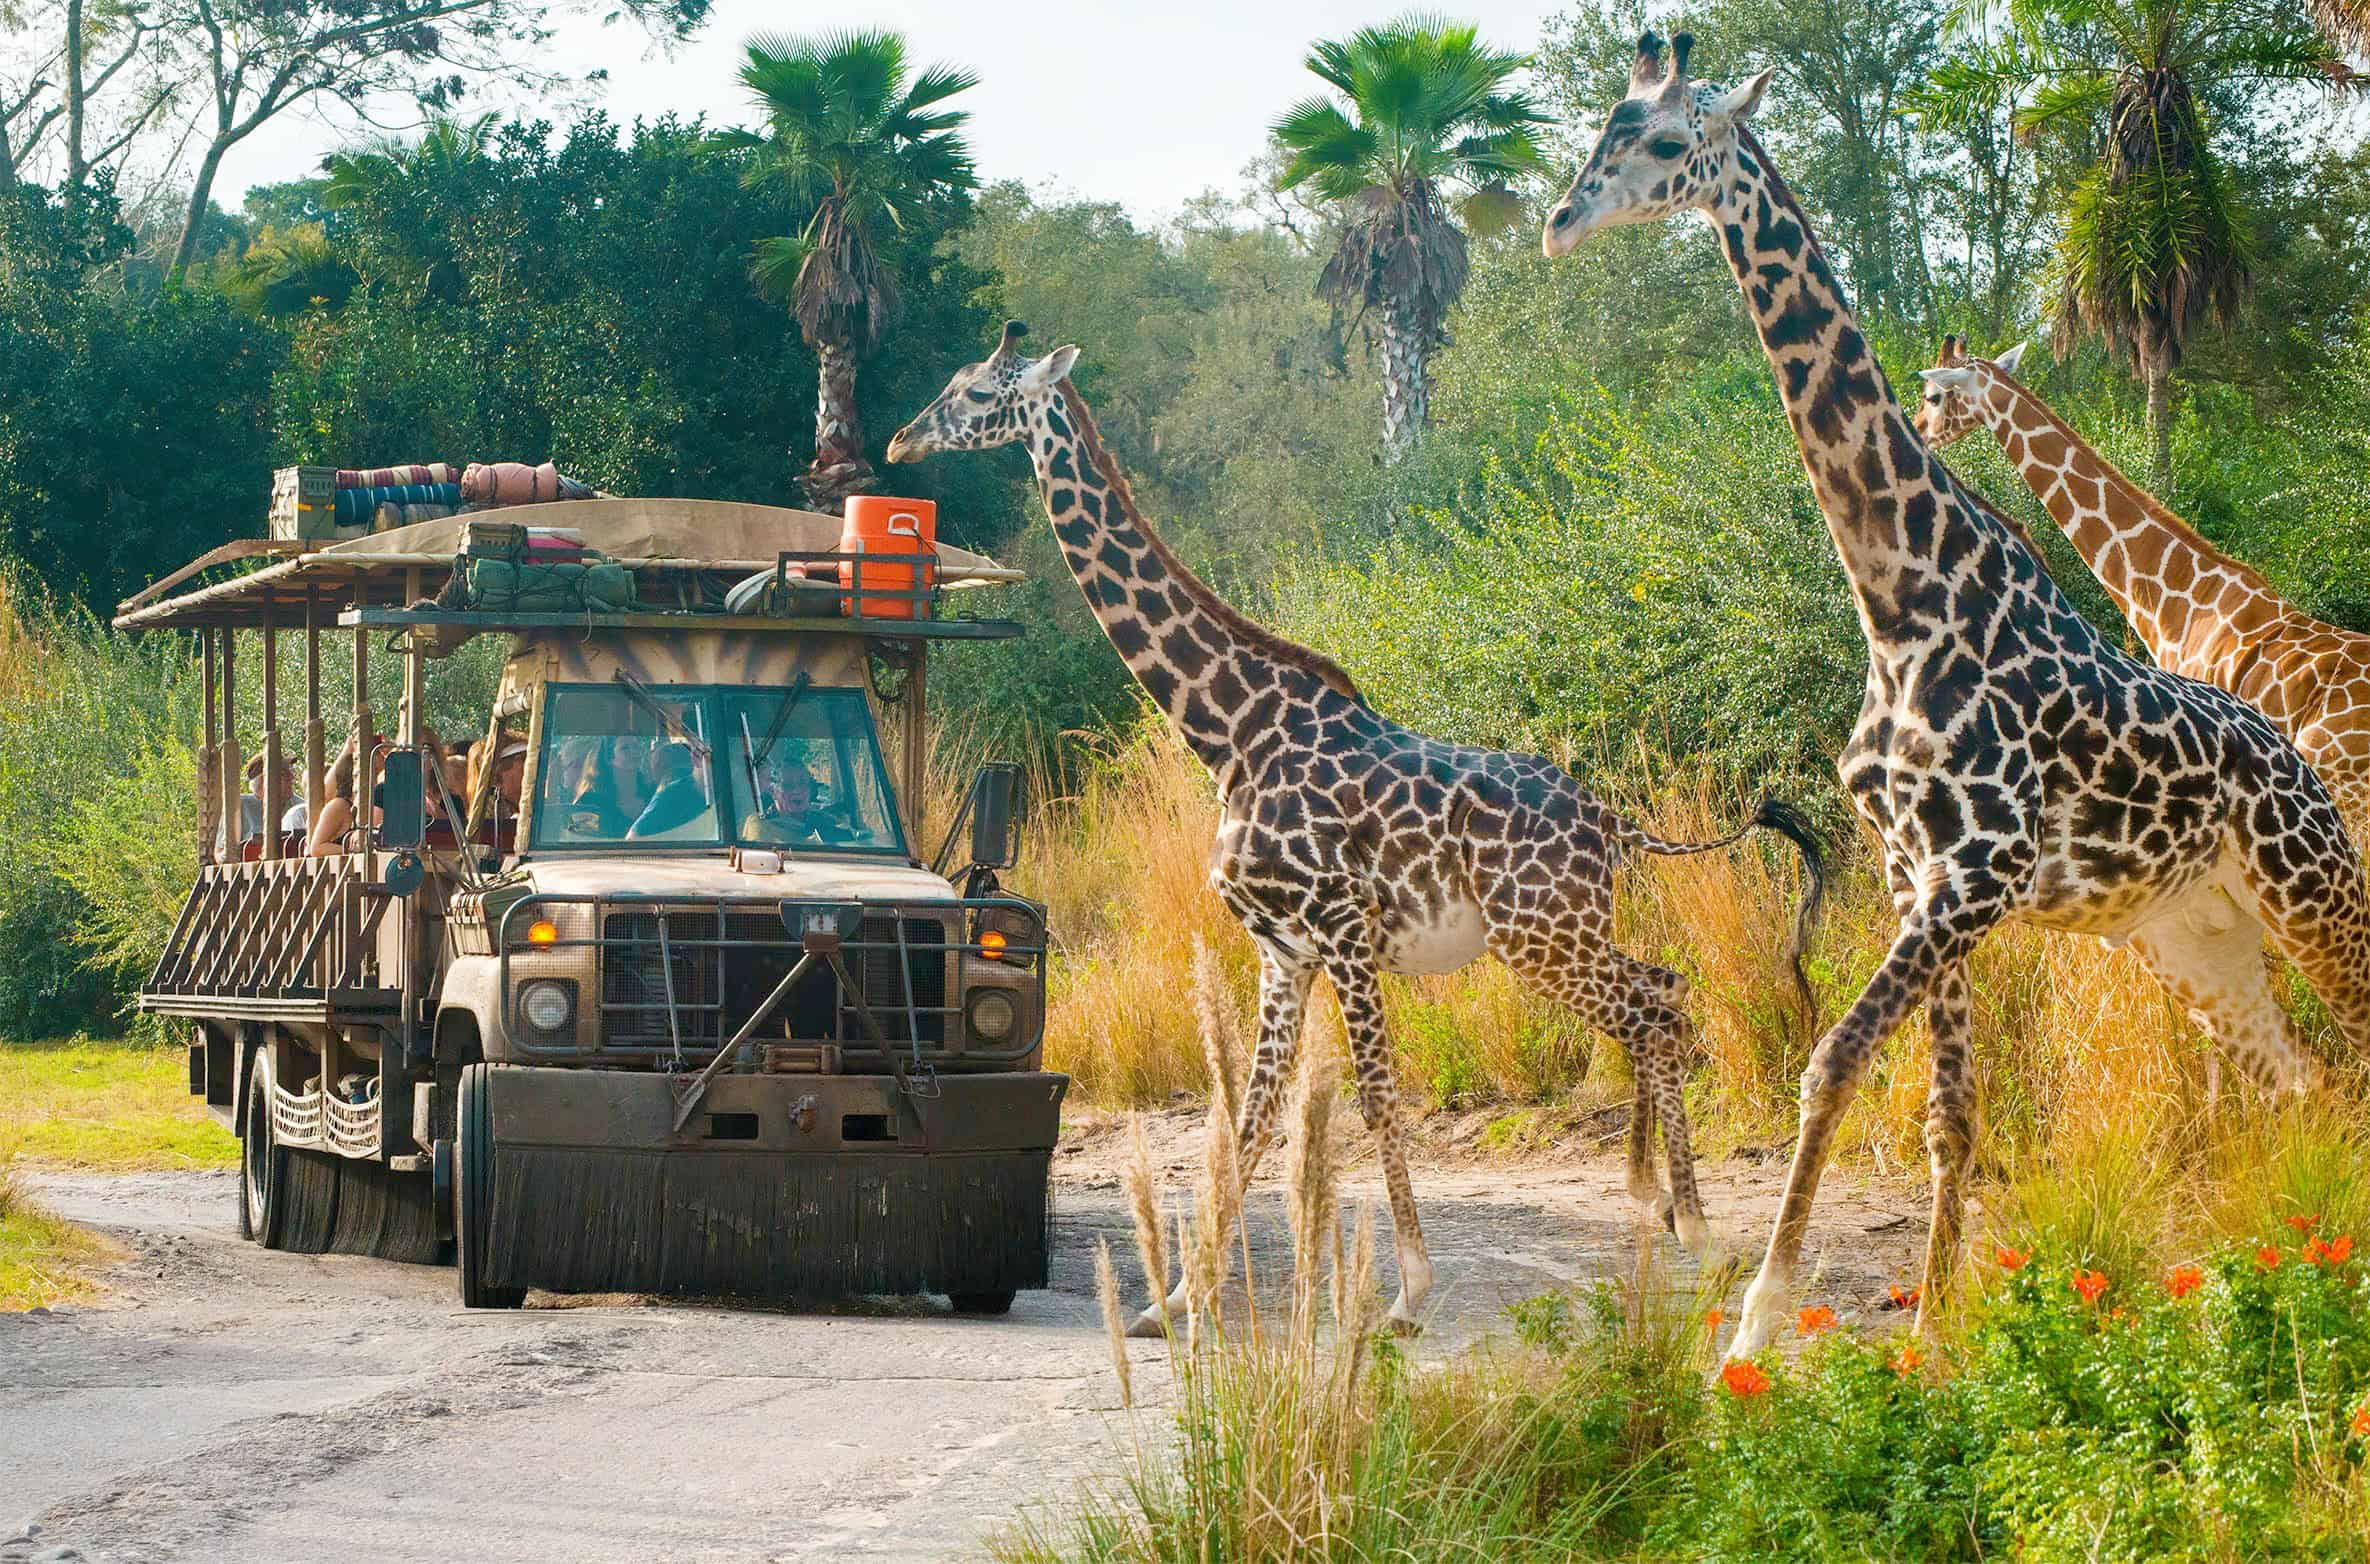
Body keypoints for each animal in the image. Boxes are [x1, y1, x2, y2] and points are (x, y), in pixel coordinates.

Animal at [887, 321, 1827, 1335]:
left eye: (979, 392)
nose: (901, 442)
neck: (1229, 733)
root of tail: (1610, 820)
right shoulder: (1281, 948)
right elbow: (1251, 1114)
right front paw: (1175, 1301)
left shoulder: (1342, 930)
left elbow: (1374, 1100)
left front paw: (1407, 1294)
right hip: (1565, 930)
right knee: (1662, 990)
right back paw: (1662, 1203)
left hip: (1537, 936)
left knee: (1655, 1008)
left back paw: (1693, 1225)